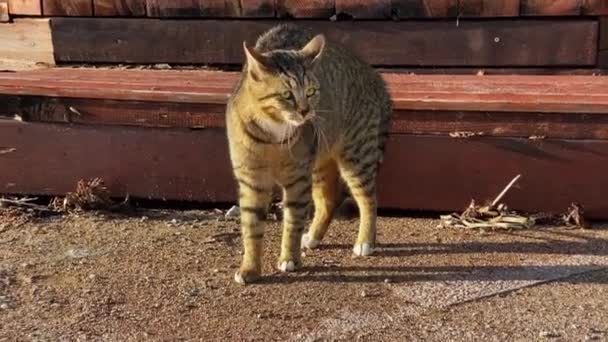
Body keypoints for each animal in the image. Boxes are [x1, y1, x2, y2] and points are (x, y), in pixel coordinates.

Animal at [226, 24, 392, 284]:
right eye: (287, 95)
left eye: (311, 91)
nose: (305, 111)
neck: (273, 135)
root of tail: (376, 76)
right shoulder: (252, 181)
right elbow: (251, 227)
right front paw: (250, 268)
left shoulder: (297, 180)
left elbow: (293, 222)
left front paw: (289, 259)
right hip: (319, 163)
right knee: (328, 200)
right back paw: (314, 236)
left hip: (356, 155)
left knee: (369, 199)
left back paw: (365, 241)